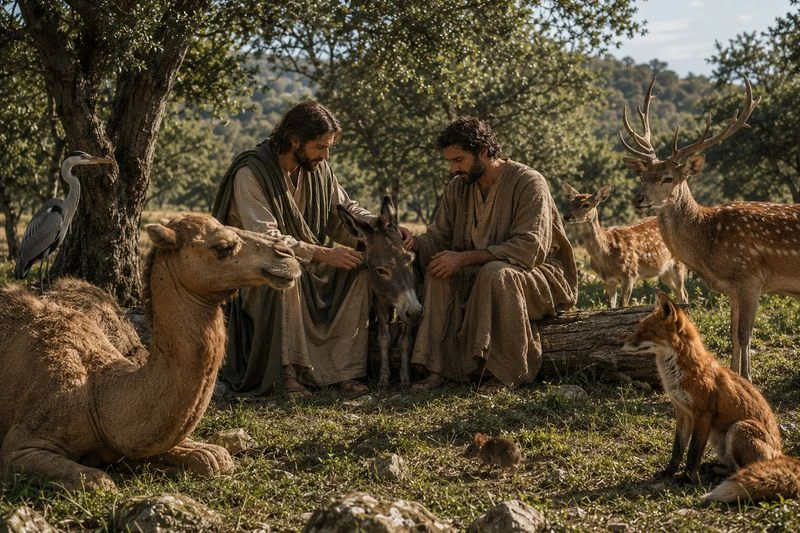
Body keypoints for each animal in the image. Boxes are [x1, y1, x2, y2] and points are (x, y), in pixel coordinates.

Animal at [0, 214, 301, 490]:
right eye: (223, 246)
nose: (288, 256)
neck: (98, 395)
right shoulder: (22, 444)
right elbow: (99, 482)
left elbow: (213, 458)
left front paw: (202, 452)